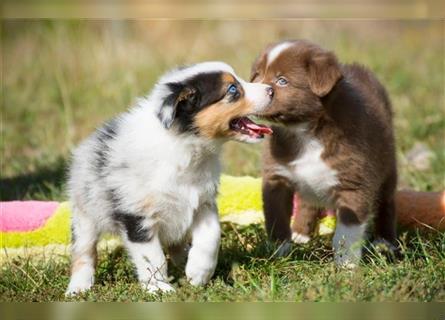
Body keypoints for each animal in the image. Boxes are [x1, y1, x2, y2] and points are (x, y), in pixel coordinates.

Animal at [251, 39, 398, 264]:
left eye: (282, 80)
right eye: (258, 75)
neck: (305, 132)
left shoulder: (353, 181)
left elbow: (348, 230)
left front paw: (346, 263)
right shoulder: (277, 177)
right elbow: (277, 218)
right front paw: (279, 252)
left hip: (387, 166)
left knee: (386, 203)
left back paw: (385, 242)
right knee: (307, 202)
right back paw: (300, 233)